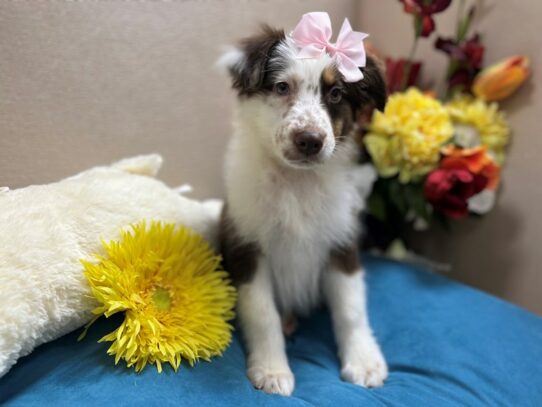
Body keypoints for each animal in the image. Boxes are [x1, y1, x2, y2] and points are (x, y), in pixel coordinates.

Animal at [219, 17, 388, 396]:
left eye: (336, 94)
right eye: (282, 87)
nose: (310, 141)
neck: (297, 183)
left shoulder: (341, 242)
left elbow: (351, 308)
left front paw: (364, 361)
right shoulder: (247, 246)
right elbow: (262, 313)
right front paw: (272, 370)